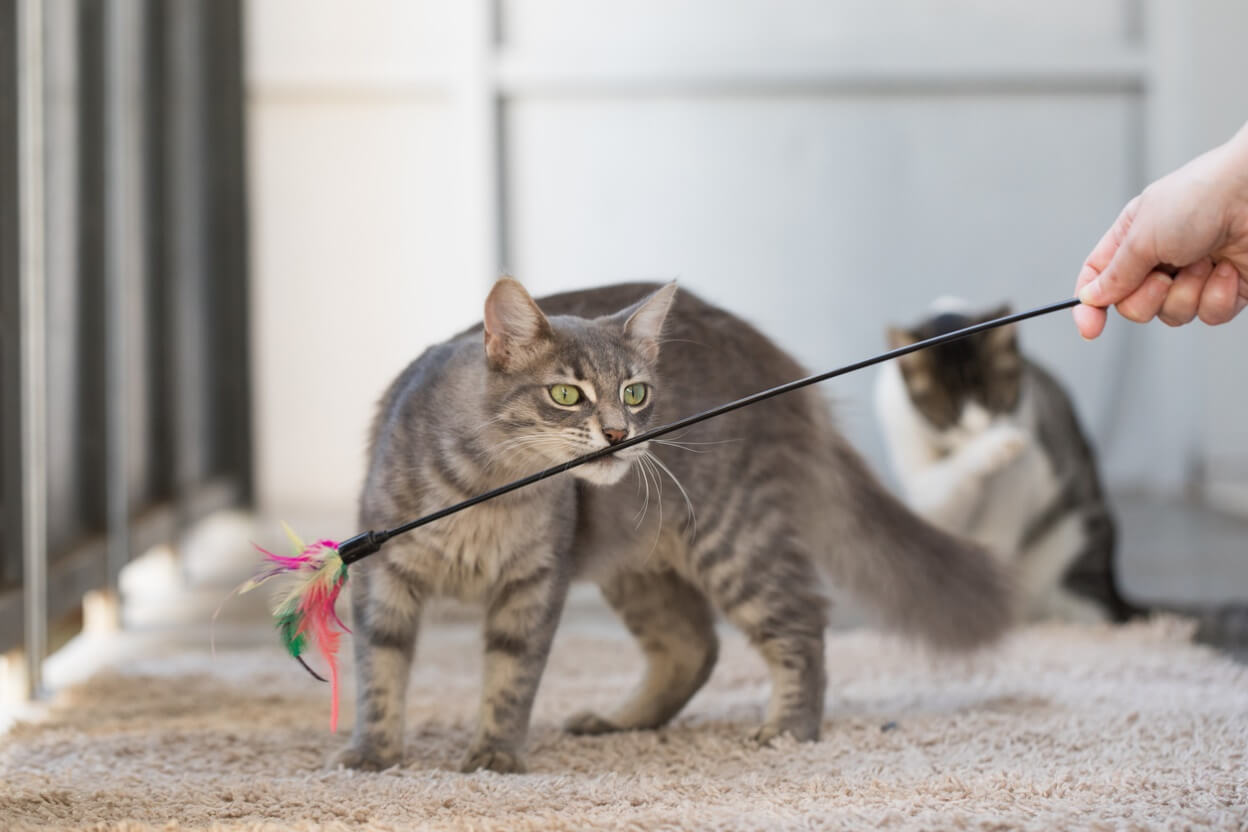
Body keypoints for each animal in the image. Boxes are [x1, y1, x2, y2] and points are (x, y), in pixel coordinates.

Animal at [334, 279, 1013, 773]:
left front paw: (495, 756)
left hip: (734, 536)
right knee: (693, 645)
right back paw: (621, 722)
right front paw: (374, 756)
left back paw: (788, 730)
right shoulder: (383, 575)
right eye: (566, 394)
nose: (619, 433)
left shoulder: (535, 583)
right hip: (639, 567)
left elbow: (510, 678)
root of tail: (777, 361)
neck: (490, 496)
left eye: (634, 393)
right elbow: (380, 672)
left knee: (800, 624)